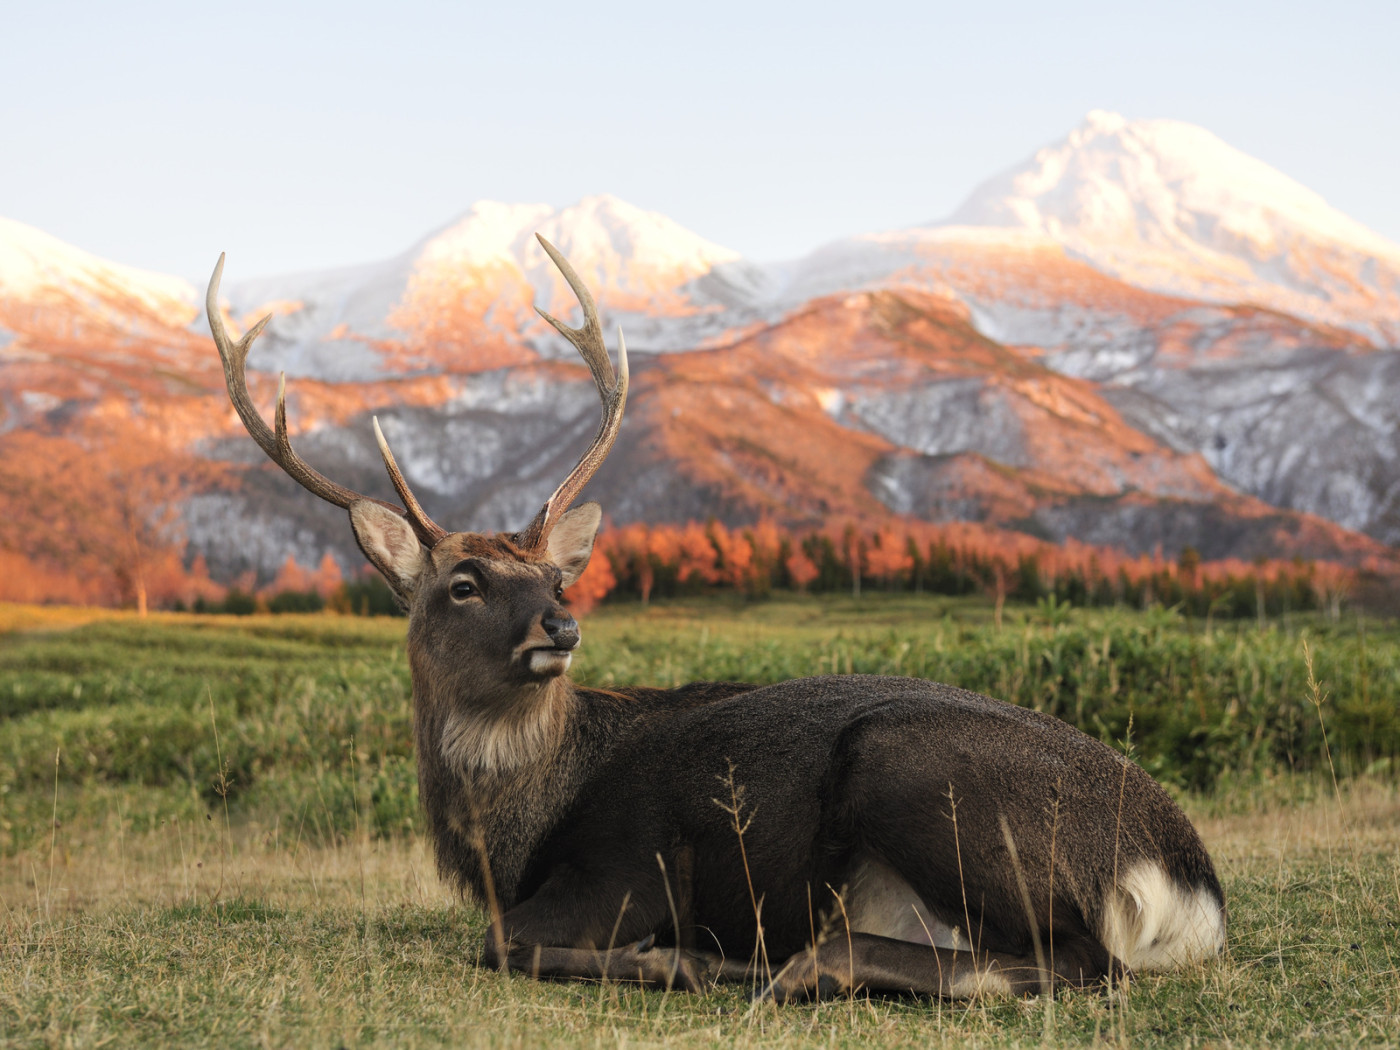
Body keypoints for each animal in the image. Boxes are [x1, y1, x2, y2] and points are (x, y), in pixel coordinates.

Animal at [205, 238, 1225, 1001]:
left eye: (556, 579)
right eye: (462, 583)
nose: (558, 630)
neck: (513, 835)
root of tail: (1188, 884)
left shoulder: (625, 867)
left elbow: (499, 943)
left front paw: (674, 958)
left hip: (916, 772)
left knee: (1080, 961)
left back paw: (775, 964)